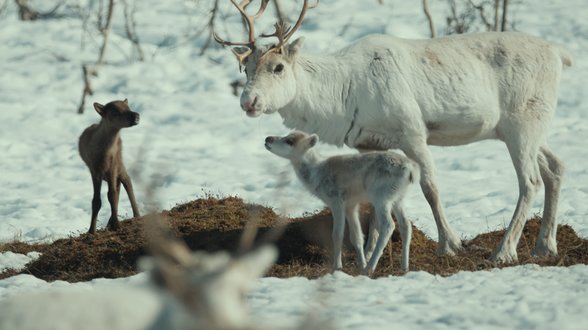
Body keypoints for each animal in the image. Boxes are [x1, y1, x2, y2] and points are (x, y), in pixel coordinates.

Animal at [79, 99, 141, 233]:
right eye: (114, 112)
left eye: (128, 107)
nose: (136, 116)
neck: (104, 154)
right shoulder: (94, 169)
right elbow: (96, 200)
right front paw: (91, 231)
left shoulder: (113, 166)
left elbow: (112, 195)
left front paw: (116, 225)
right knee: (119, 185)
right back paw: (109, 222)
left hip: (119, 163)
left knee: (126, 181)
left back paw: (137, 215)